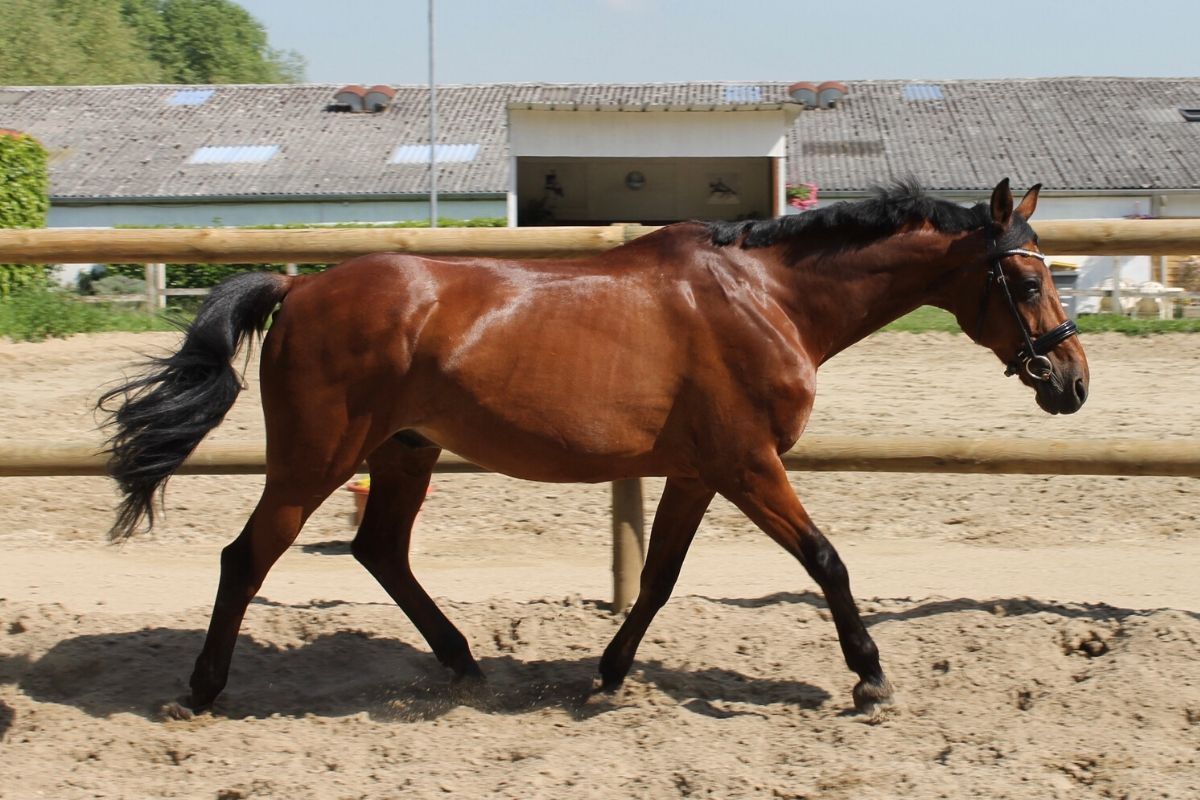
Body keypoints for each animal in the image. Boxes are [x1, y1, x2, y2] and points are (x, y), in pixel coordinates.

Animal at [100, 178, 1089, 714]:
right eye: (1025, 278)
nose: (1072, 382)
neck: (769, 298)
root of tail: (300, 286)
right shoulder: (748, 464)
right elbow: (826, 561)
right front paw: (870, 680)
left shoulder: (699, 471)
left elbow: (658, 578)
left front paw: (608, 675)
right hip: (317, 459)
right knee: (247, 556)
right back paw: (201, 691)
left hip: (406, 452)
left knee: (380, 550)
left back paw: (465, 663)